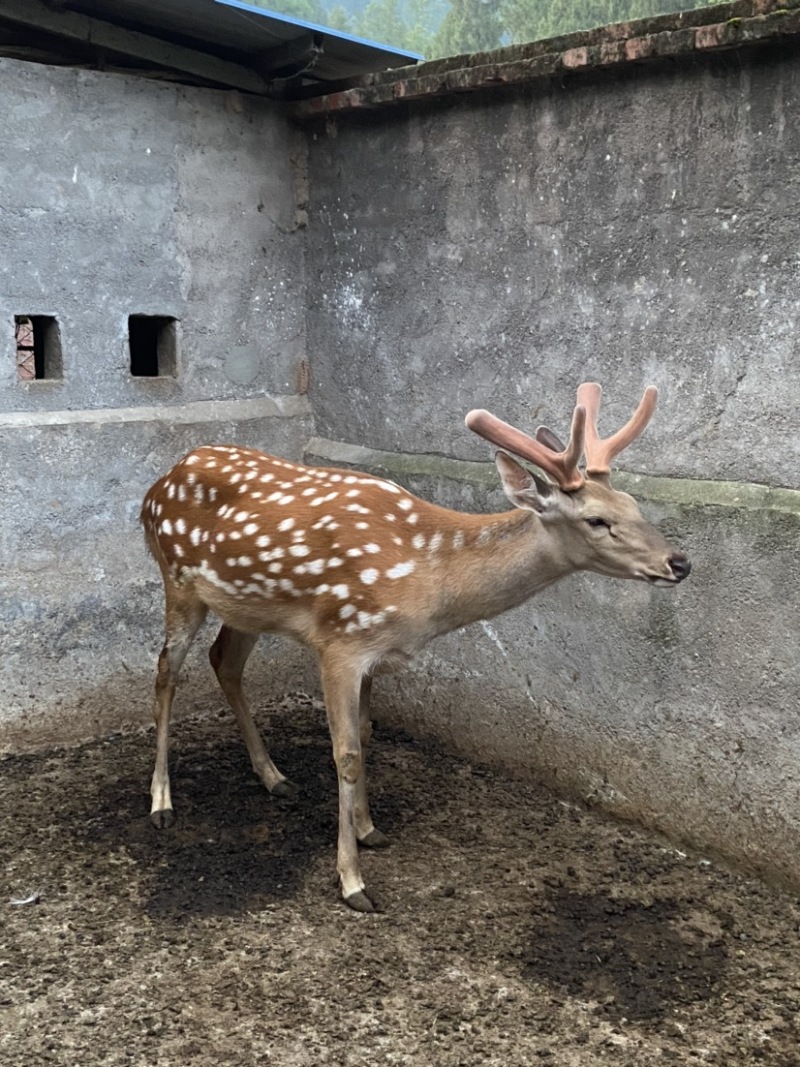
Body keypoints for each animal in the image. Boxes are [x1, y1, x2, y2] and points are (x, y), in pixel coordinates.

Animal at [140, 382, 690, 912]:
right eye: (596, 520)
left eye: (635, 506)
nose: (680, 562)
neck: (427, 584)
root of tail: (155, 487)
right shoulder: (339, 640)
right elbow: (346, 753)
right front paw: (353, 882)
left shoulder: (375, 653)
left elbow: (365, 733)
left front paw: (369, 830)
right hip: (178, 579)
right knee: (167, 671)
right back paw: (162, 802)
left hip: (245, 604)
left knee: (224, 663)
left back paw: (275, 777)